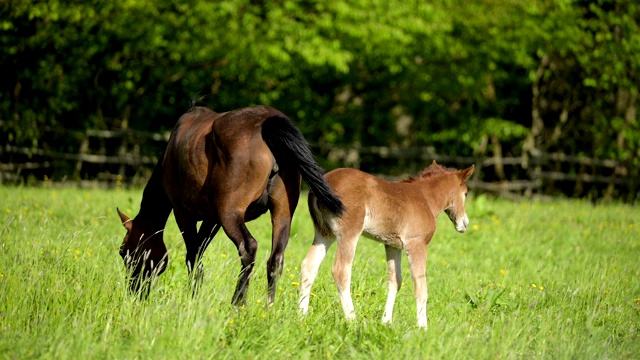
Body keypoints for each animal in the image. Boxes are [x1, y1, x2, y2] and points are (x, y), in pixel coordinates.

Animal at [117, 105, 342, 306]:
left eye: (124, 252)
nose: (134, 291)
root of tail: (268, 124)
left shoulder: (184, 214)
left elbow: (192, 256)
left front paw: (194, 298)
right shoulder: (212, 220)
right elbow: (198, 251)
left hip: (230, 213)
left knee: (248, 248)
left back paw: (238, 302)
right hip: (282, 213)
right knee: (276, 258)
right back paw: (269, 306)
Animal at [298, 162, 472, 328]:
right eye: (466, 193)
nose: (465, 223)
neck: (425, 199)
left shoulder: (393, 245)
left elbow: (395, 281)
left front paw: (386, 321)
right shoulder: (416, 244)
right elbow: (421, 286)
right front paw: (423, 327)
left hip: (324, 234)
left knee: (309, 266)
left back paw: (301, 314)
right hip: (349, 233)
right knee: (341, 271)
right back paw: (352, 319)